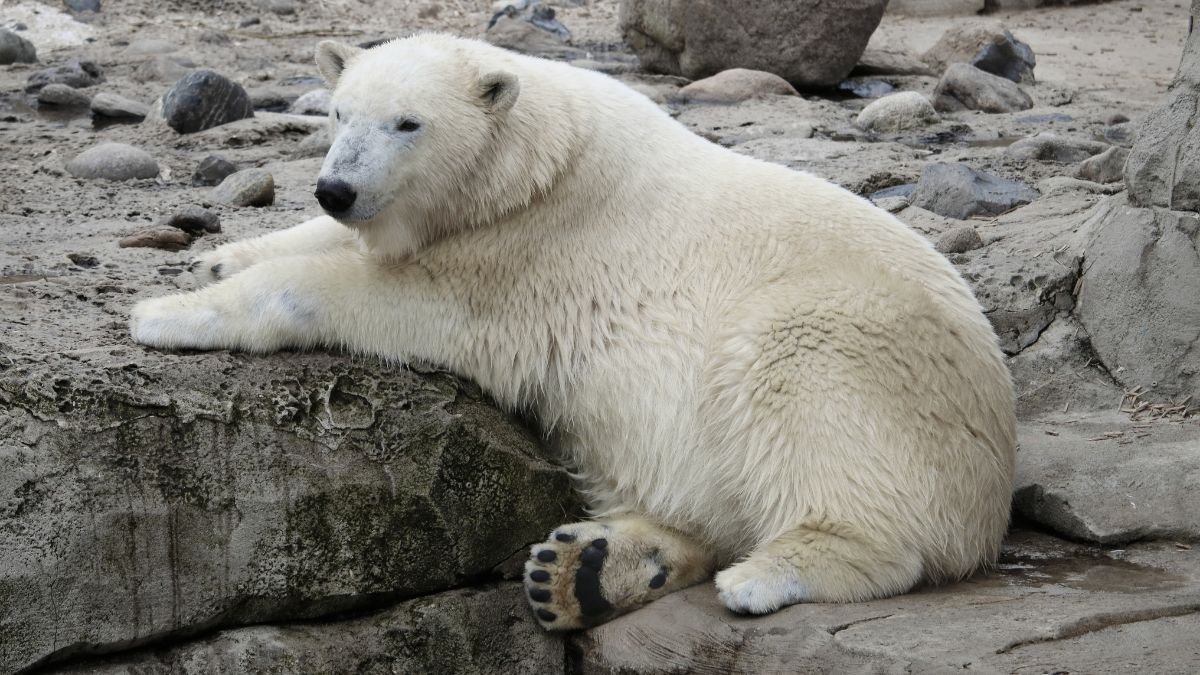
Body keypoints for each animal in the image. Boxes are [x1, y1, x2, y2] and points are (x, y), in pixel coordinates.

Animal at [130, 33, 1017, 630]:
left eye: (408, 123)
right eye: (340, 113)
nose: (336, 188)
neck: (535, 163)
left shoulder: (526, 257)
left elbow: (387, 296)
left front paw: (165, 314)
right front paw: (219, 254)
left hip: (850, 345)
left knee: (808, 413)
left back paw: (762, 574)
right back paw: (587, 570)